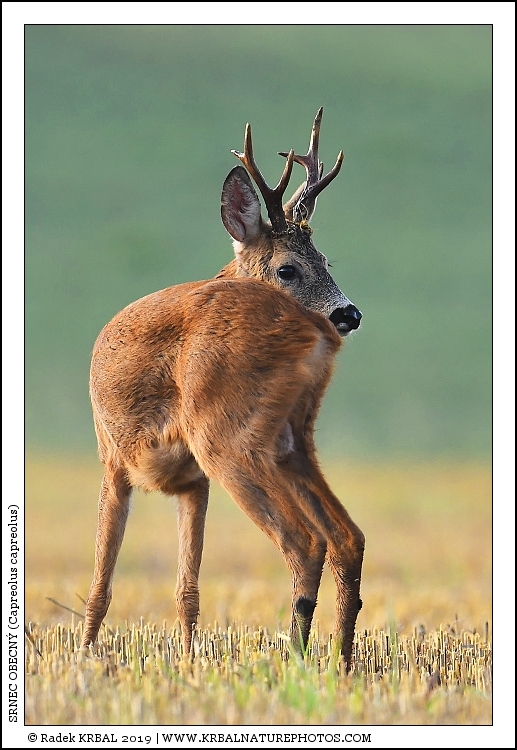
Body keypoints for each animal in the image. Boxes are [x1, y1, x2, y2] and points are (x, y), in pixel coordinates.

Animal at [82, 108, 365, 671]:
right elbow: (184, 589)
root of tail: (312, 334)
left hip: (227, 438)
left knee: (306, 542)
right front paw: (189, 663)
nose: (349, 314)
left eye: (326, 262)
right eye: (290, 267)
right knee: (348, 537)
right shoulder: (191, 480)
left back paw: (296, 656)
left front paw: (83, 657)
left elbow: (102, 583)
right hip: (293, 439)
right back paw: (340, 664)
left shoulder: (113, 459)